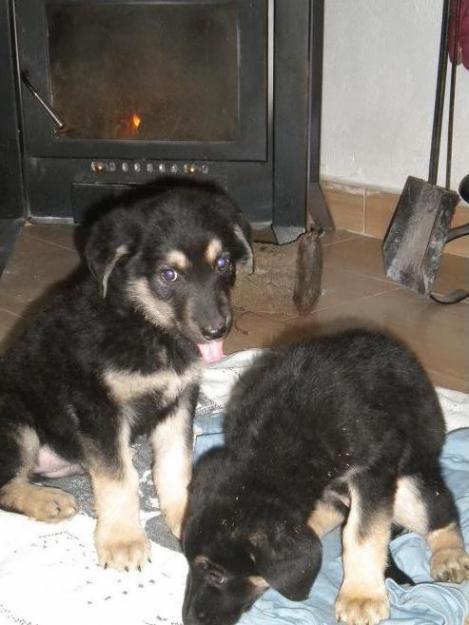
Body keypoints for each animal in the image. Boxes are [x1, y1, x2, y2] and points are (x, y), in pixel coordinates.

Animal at [0, 182, 252, 572]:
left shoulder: (179, 400)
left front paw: (185, 516)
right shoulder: (98, 409)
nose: (216, 331)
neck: (146, 326)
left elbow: (175, 464)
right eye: (169, 274)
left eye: (223, 264)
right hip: (15, 420)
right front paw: (123, 541)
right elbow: (118, 480)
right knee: (7, 485)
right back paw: (48, 501)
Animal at [182, 326, 468, 624]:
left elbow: (362, 533)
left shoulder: (373, 471)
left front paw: (361, 597)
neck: (274, 448)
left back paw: (449, 555)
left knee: (442, 510)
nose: (189, 619)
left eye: (217, 575)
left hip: (408, 485)